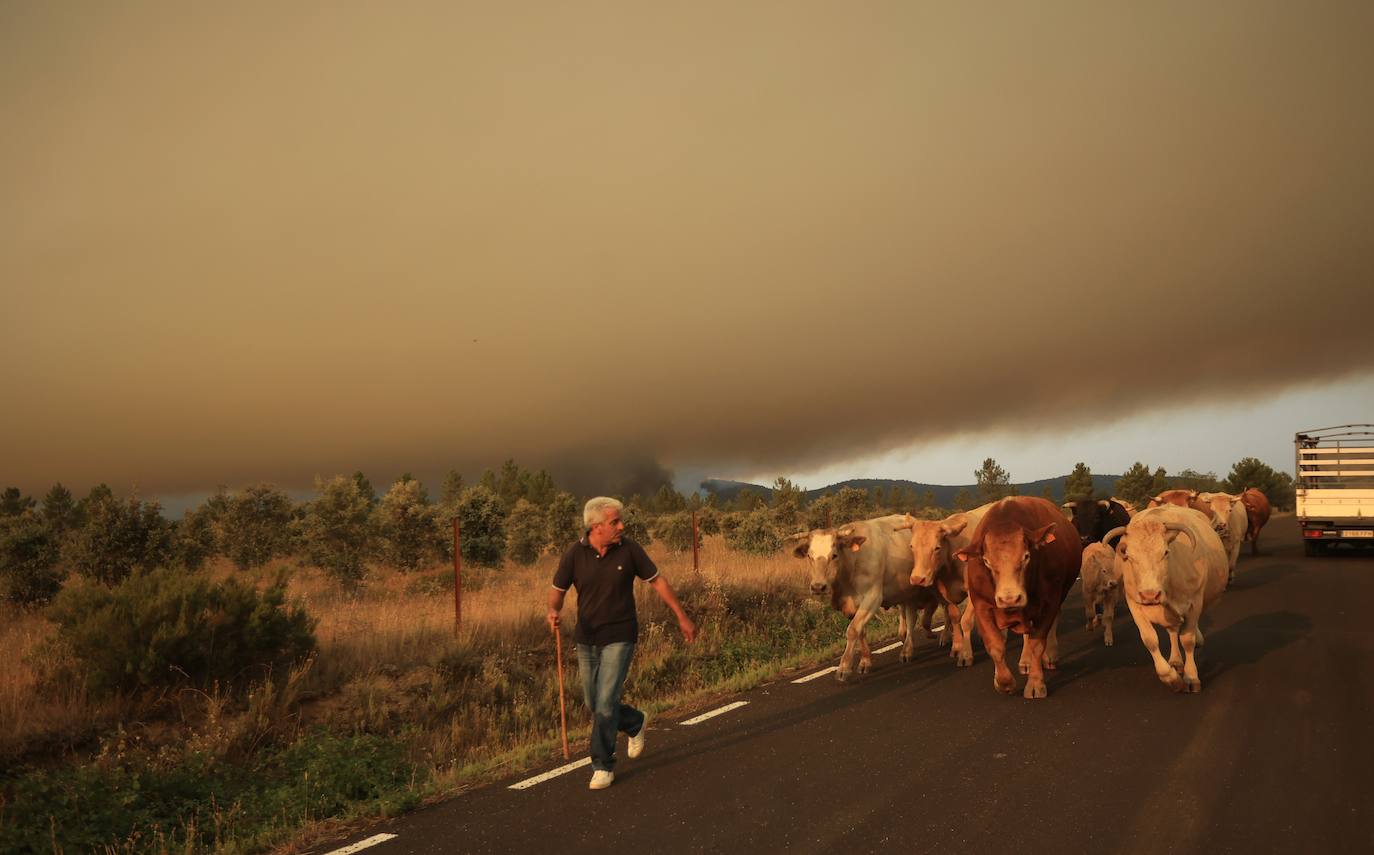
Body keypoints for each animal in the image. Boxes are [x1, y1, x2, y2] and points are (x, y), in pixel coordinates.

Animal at [1099, 505, 1231, 692]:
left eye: (1165, 552)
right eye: (1129, 556)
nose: (1150, 595)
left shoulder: (1194, 602)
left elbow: (1187, 640)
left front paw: (1191, 677)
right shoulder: (1134, 604)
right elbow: (1150, 640)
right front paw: (1170, 677)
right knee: (1172, 631)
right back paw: (1175, 661)